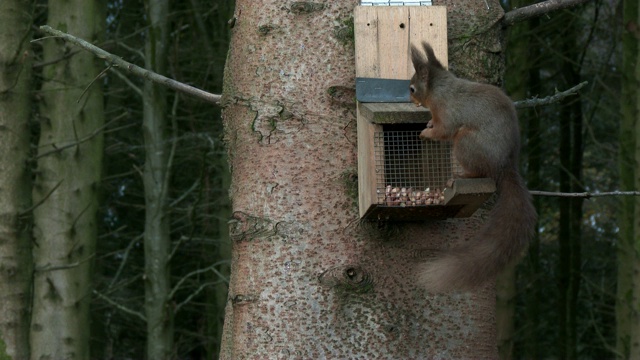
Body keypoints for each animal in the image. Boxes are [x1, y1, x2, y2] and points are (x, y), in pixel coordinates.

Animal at [410, 41, 536, 292]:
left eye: (411, 89)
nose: (410, 100)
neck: (440, 89)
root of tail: (505, 165)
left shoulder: (448, 113)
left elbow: (443, 130)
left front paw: (426, 132)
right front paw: (428, 123)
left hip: (466, 143)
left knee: (480, 172)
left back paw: (461, 176)